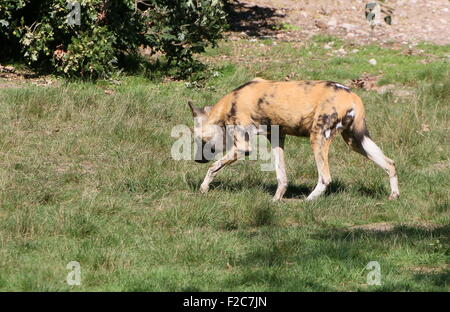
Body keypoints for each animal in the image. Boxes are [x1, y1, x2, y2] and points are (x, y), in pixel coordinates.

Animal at [188, 77, 400, 200]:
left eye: (201, 140)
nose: (196, 160)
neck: (229, 104)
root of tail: (353, 96)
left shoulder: (243, 148)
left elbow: (213, 168)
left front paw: (203, 188)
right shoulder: (276, 138)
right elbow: (281, 176)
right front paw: (276, 200)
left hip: (317, 138)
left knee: (325, 178)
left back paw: (308, 201)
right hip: (355, 141)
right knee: (389, 163)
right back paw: (394, 195)